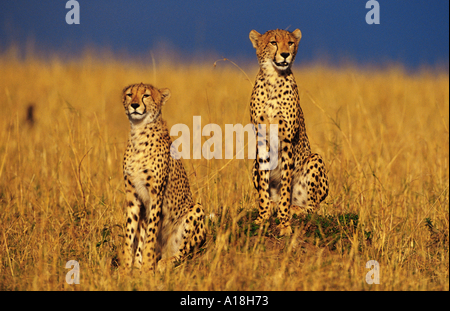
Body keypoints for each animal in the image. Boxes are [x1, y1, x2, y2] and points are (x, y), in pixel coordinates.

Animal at [119, 84, 204, 272]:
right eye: (129, 94)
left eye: (146, 95)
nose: (134, 105)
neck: (139, 132)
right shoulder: (133, 195)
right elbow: (130, 234)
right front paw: (126, 268)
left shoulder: (156, 195)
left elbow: (150, 235)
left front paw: (147, 268)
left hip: (196, 208)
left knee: (183, 252)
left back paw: (165, 262)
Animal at [250, 28, 326, 236]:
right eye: (273, 42)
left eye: (290, 42)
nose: (285, 54)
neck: (273, 78)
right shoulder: (261, 140)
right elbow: (264, 185)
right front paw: (263, 216)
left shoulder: (286, 141)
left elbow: (285, 184)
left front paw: (284, 222)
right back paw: (273, 206)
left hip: (315, 159)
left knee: (313, 208)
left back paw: (295, 209)